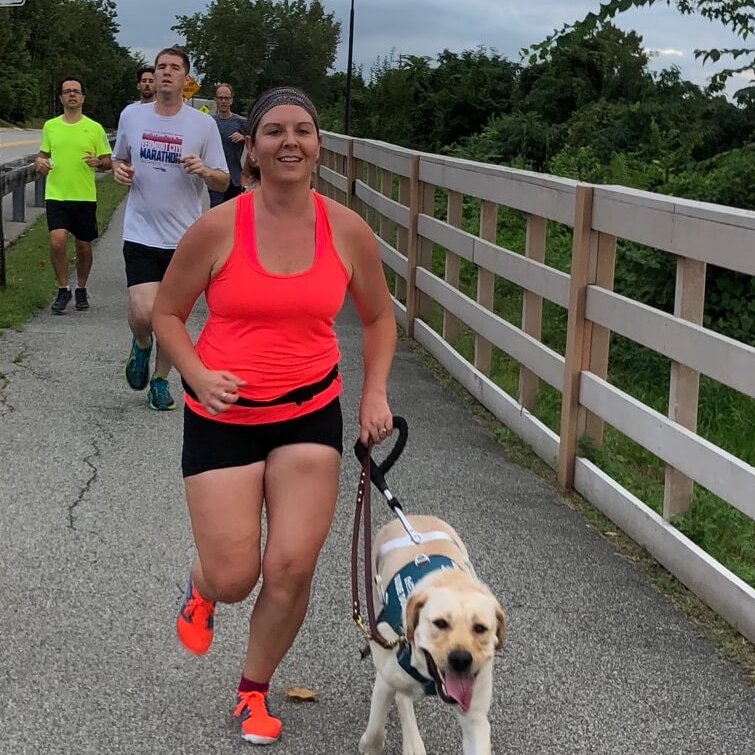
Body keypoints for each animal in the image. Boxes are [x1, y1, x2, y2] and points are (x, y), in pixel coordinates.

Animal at [358, 512, 504, 755]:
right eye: (440, 623)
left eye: (480, 628)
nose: (461, 659)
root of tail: (413, 516)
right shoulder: (386, 678)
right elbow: (378, 728)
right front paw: (373, 745)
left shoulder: (474, 716)